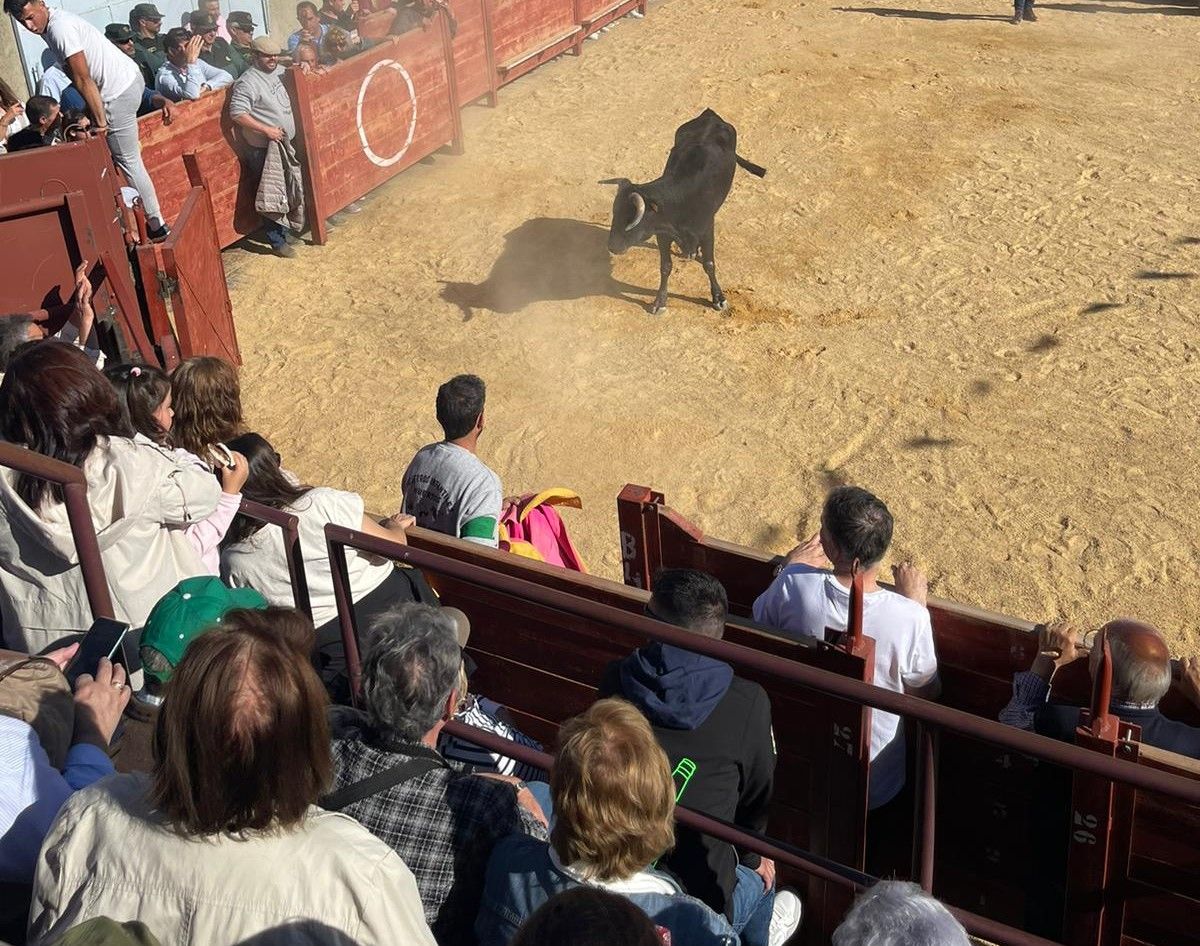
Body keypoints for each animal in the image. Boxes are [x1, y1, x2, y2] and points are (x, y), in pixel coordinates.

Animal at [604, 107, 763, 314]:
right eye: (615, 213)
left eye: (631, 218)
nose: (612, 246)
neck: (680, 201)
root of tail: (710, 115)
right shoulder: (662, 234)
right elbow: (665, 266)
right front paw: (659, 302)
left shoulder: (707, 229)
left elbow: (709, 264)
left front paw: (719, 298)